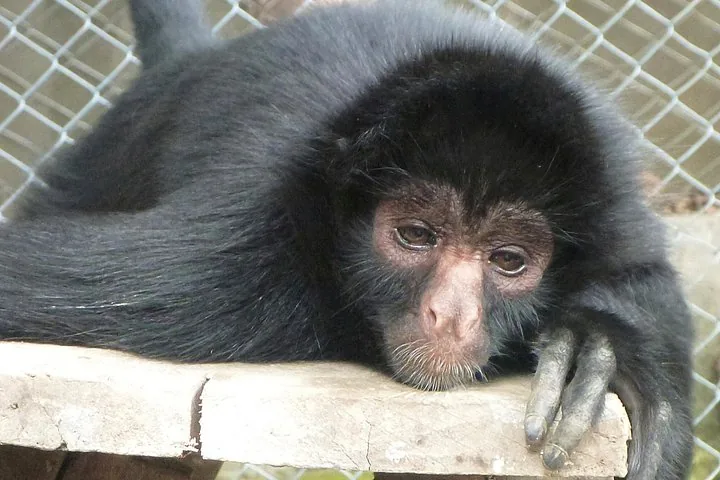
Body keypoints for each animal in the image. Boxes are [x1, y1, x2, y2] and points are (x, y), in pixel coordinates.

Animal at [0, 0, 693, 478]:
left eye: (508, 259)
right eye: (415, 235)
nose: (451, 314)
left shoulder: (617, 218)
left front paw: (594, 347)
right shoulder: (228, 266)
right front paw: (590, 347)